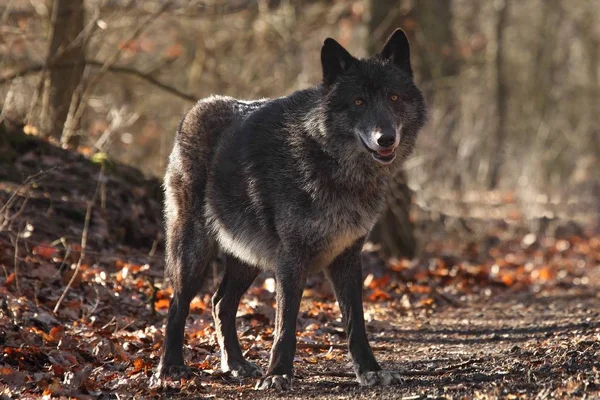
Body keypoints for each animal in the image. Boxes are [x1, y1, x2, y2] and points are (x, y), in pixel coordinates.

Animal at [157, 28, 424, 390]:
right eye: (359, 102)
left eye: (394, 98)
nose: (386, 138)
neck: (334, 166)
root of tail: (196, 108)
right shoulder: (291, 258)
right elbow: (285, 324)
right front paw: (278, 373)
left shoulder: (347, 256)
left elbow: (356, 323)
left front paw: (370, 371)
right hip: (193, 251)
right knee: (177, 304)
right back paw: (171, 366)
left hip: (247, 257)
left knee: (220, 303)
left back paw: (236, 364)